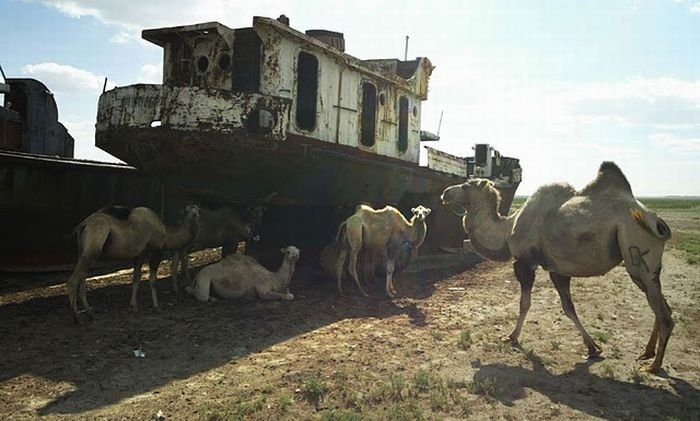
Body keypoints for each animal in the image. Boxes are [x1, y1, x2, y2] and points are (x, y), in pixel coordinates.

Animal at [66, 203, 200, 322]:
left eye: (198, 210)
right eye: (188, 210)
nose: (195, 215)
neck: (166, 235)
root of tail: (83, 225)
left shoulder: (139, 255)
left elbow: (136, 279)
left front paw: (133, 306)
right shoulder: (155, 250)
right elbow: (152, 281)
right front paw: (157, 307)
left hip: (85, 252)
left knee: (82, 277)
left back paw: (90, 314)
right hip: (92, 248)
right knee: (73, 281)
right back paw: (76, 318)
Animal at [440, 161, 676, 370]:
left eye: (466, 185)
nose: (445, 193)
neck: (507, 229)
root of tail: (655, 220)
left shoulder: (525, 263)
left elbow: (525, 304)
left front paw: (512, 337)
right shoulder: (557, 269)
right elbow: (568, 307)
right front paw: (593, 348)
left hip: (637, 250)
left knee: (663, 313)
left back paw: (654, 366)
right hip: (644, 267)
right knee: (660, 305)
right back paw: (647, 353)